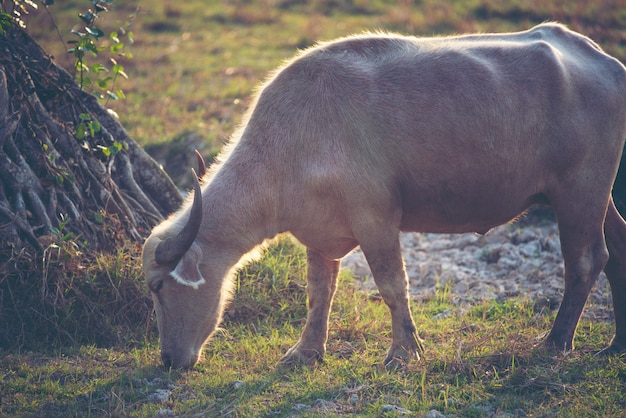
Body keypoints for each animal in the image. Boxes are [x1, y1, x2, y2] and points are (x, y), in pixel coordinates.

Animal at [143, 23, 624, 370]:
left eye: (158, 286)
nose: (167, 360)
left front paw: (403, 353)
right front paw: (305, 353)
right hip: (598, 196)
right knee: (616, 250)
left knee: (586, 261)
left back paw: (555, 342)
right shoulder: (319, 233)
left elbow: (393, 286)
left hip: (580, 190)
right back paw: (616, 345)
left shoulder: (376, 220)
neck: (290, 141)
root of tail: (605, 62)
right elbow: (319, 293)